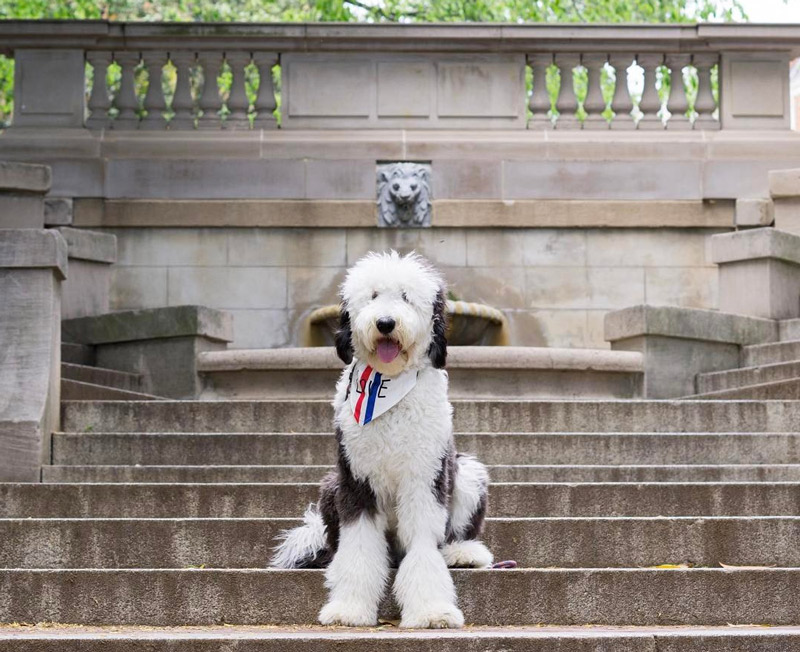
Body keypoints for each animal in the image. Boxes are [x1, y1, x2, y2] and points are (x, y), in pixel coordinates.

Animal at [272, 250, 490, 628]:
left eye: (406, 297)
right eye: (372, 296)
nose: (386, 323)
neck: (387, 386)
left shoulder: (424, 477)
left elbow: (423, 546)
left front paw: (430, 610)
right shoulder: (356, 481)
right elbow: (358, 550)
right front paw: (349, 607)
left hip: (466, 473)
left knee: (454, 533)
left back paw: (463, 552)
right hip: (331, 486)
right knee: (339, 547)